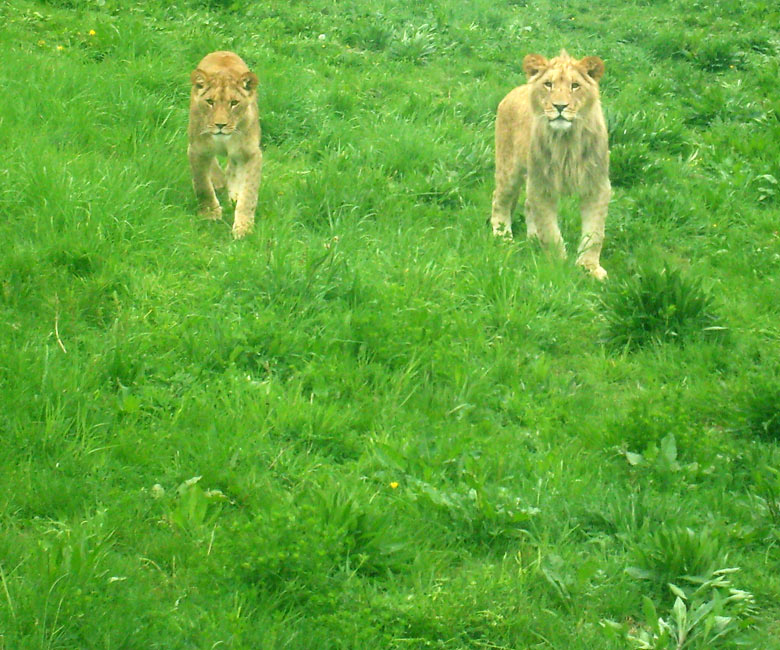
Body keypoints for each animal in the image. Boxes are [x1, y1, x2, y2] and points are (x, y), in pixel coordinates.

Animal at [190, 50, 264, 238]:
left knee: (233, 168)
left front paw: (244, 228)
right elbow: (202, 184)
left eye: (234, 103)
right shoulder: (197, 149)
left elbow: (249, 194)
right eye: (210, 102)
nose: (220, 125)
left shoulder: (252, 153)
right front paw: (210, 214)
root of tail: (223, 52)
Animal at [490, 47, 612, 276]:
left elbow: (595, 233)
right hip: (509, 168)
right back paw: (502, 236)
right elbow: (550, 231)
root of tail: (516, 90)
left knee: (527, 205)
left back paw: (533, 239)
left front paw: (589, 268)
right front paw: (558, 266)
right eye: (548, 84)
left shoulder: (597, 185)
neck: (567, 142)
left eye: (575, 85)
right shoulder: (542, 184)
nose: (560, 106)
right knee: (499, 199)